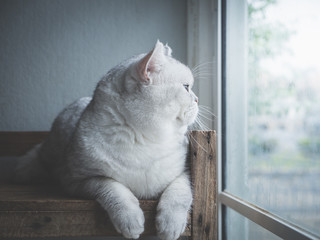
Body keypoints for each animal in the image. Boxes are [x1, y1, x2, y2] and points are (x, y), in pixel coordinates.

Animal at [16, 40, 200, 239]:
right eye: (186, 87)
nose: (197, 99)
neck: (147, 140)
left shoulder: (185, 172)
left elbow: (179, 194)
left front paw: (170, 225)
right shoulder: (78, 180)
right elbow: (113, 189)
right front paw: (130, 220)